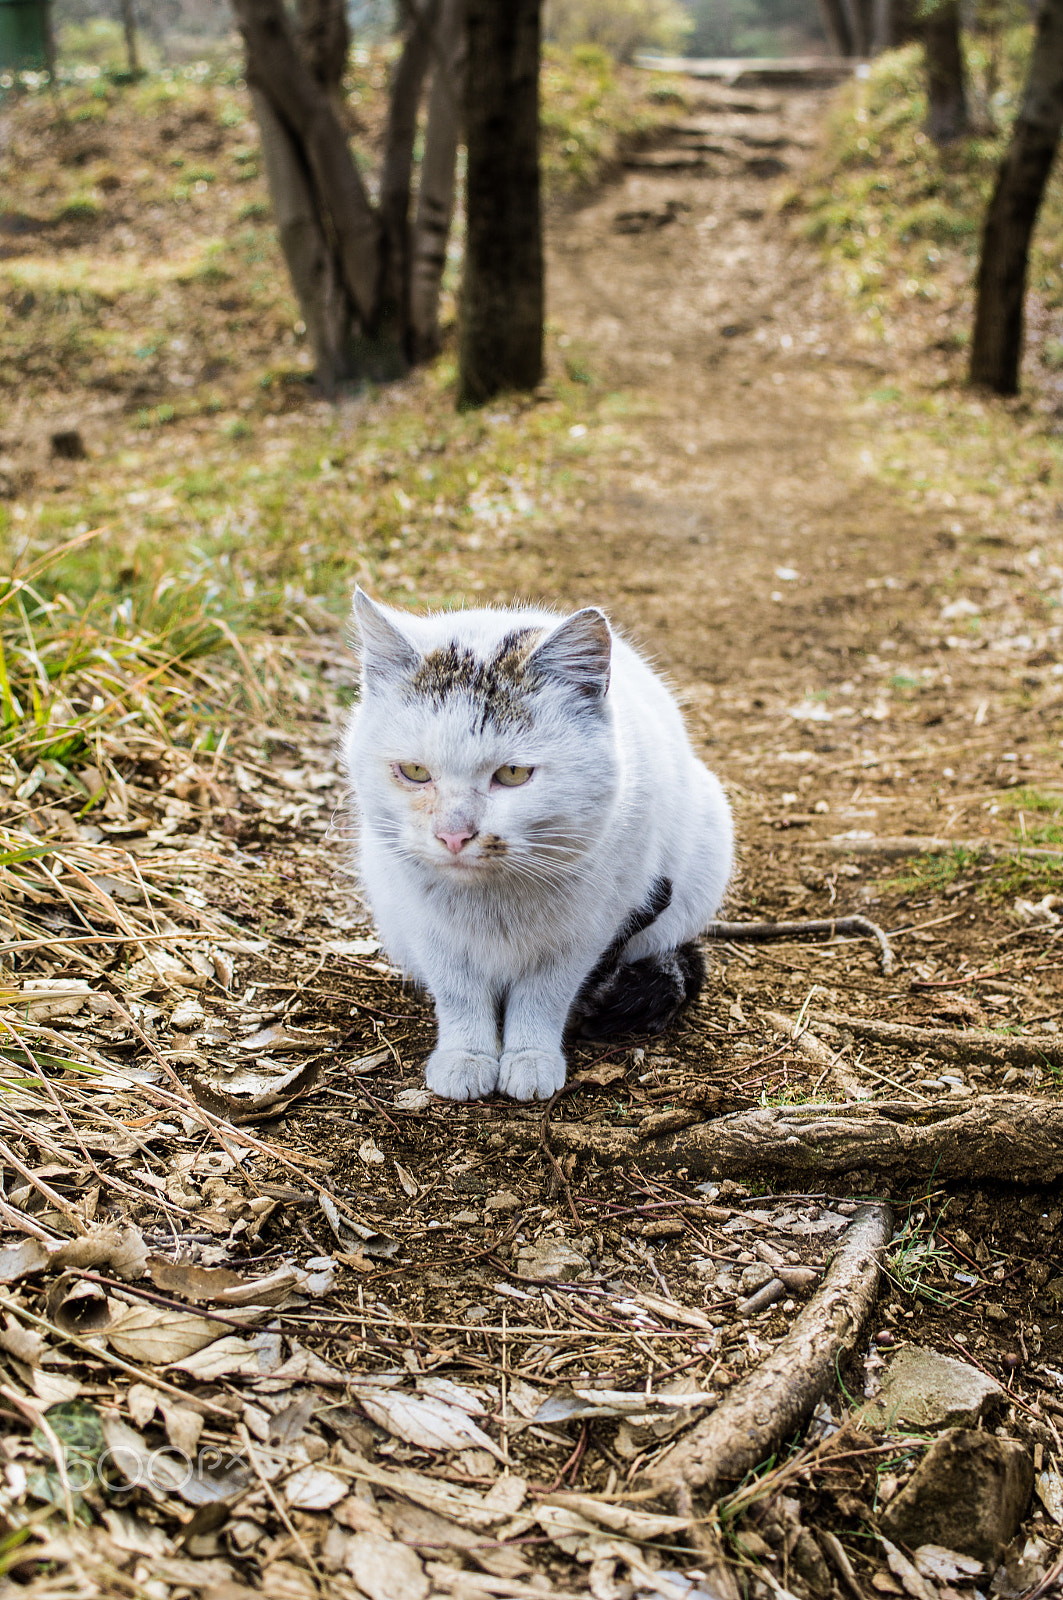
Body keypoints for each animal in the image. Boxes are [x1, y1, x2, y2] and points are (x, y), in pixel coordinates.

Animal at [342, 595, 730, 1107]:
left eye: (512, 774)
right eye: (414, 771)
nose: (453, 835)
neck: (494, 899)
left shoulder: (584, 933)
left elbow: (543, 997)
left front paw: (530, 1057)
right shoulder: (426, 928)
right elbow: (458, 994)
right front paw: (467, 1056)